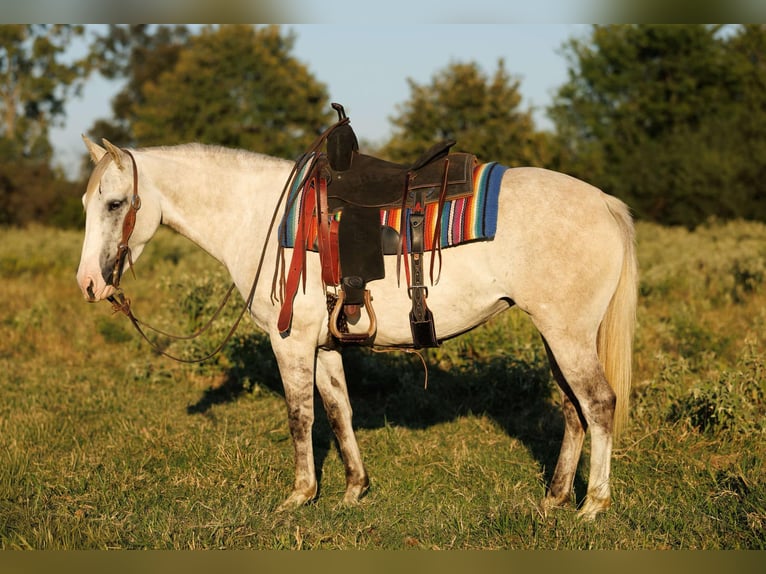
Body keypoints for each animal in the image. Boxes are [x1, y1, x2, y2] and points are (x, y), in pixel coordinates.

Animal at [76, 136, 637, 520]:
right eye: (86, 204)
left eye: (115, 203)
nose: (88, 284)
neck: (261, 218)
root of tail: (604, 202)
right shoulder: (324, 345)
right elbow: (339, 410)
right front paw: (353, 489)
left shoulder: (290, 342)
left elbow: (300, 416)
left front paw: (299, 495)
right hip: (556, 334)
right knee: (572, 409)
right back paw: (555, 498)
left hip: (566, 334)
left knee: (598, 404)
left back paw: (593, 505)